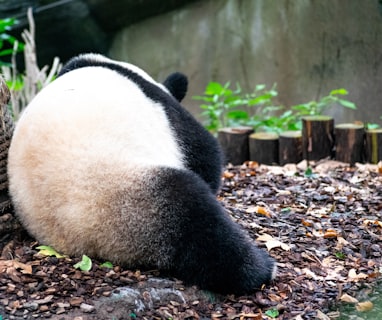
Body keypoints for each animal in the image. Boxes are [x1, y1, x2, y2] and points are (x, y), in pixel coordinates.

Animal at [7, 53, 276, 296]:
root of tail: (79, 238)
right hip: (129, 196)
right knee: (195, 220)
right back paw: (258, 269)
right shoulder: (167, 111)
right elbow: (205, 152)